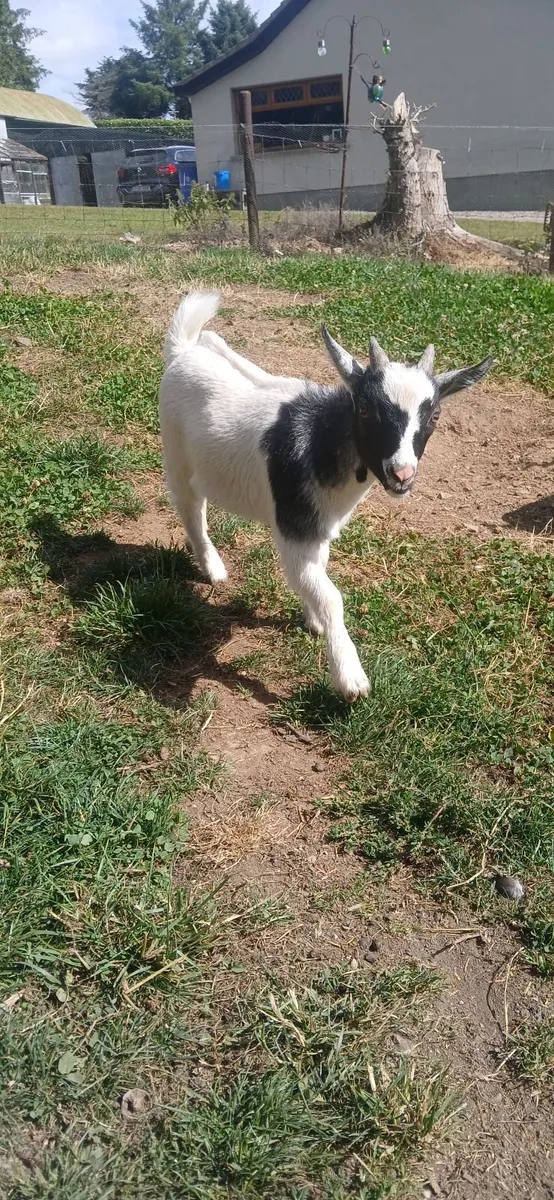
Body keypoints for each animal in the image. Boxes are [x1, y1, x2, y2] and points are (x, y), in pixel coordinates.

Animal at [159, 292, 493, 701]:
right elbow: (331, 596)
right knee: (191, 507)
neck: (319, 439)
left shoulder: (320, 528)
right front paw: (350, 677)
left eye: (435, 416)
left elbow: (316, 577)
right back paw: (213, 568)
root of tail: (184, 350)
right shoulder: (294, 529)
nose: (402, 474)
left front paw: (313, 619)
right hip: (176, 452)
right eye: (364, 408)